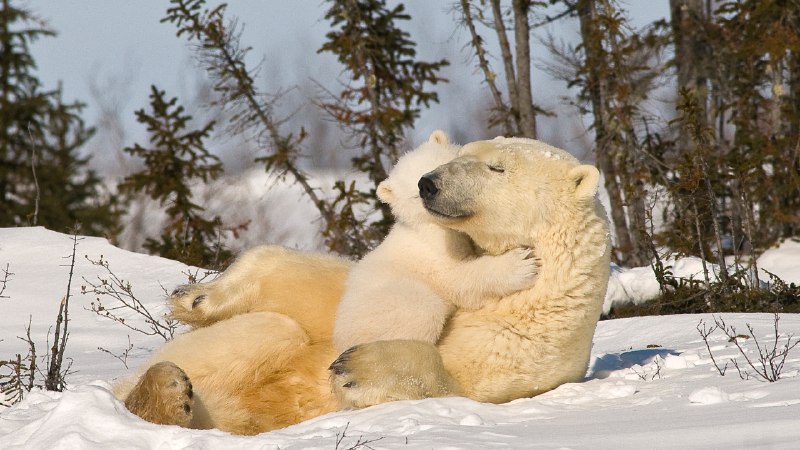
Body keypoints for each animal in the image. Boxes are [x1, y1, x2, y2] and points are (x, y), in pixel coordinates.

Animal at [333, 130, 538, 352]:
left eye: (443, 165)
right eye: (416, 194)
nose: (428, 185)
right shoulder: (434, 249)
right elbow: (457, 279)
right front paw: (521, 264)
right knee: (421, 309)